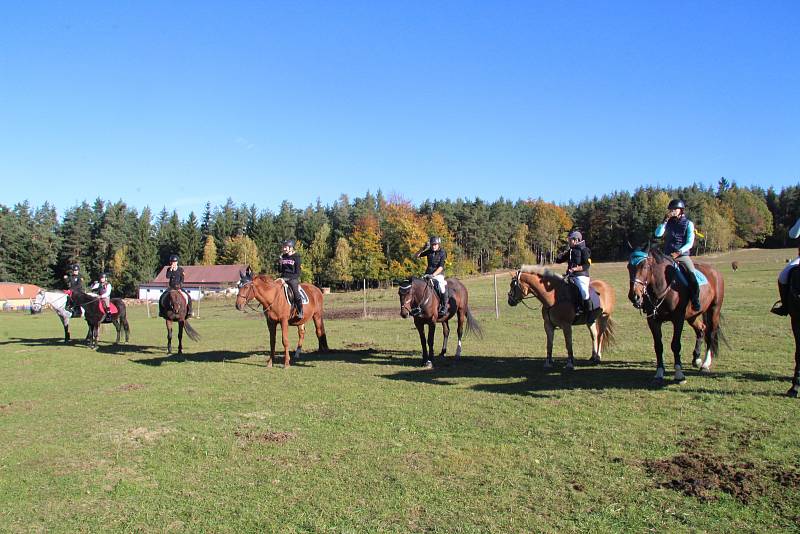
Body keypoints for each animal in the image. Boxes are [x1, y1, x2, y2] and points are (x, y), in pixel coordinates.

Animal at [628, 249, 728, 388]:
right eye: (628, 267)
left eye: (645, 266)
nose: (634, 296)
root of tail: (714, 271)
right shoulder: (653, 321)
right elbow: (658, 346)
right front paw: (659, 374)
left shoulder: (678, 319)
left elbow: (675, 345)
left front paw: (679, 375)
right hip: (692, 316)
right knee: (701, 329)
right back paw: (696, 359)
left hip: (714, 310)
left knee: (711, 334)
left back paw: (705, 364)